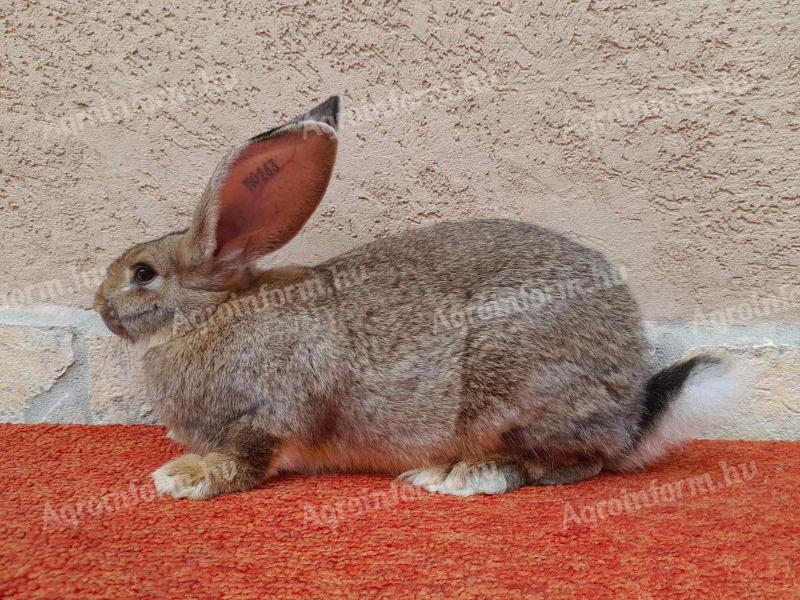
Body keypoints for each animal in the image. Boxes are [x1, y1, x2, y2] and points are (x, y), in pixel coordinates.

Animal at [95, 96, 744, 500]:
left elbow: (245, 459)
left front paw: (183, 477)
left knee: (569, 465)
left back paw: (458, 475)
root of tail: (630, 413)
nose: (100, 308)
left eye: (143, 273)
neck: (207, 316)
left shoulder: (269, 414)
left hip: (519, 394)